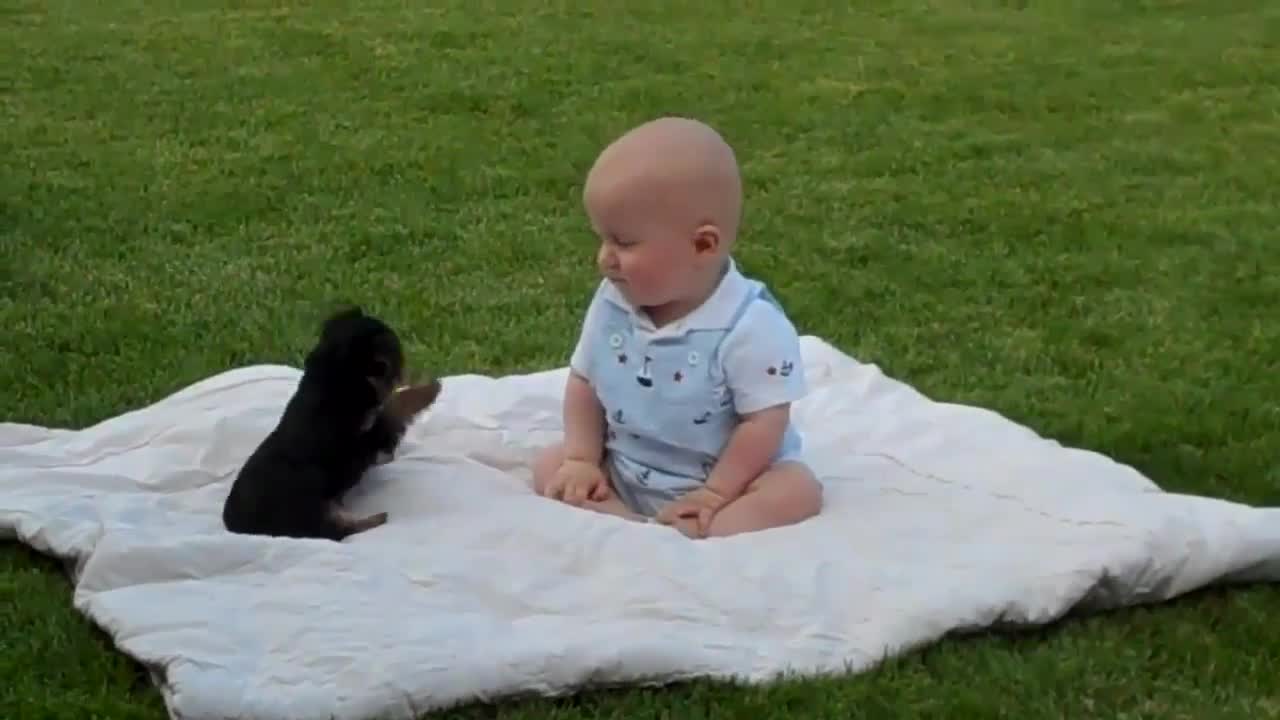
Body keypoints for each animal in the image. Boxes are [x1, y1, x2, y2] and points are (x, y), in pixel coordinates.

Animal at [227, 304, 448, 540]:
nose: (407, 370)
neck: (331, 381)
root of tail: (236, 527)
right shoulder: (368, 438)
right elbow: (395, 405)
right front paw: (431, 387)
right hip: (309, 511)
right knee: (339, 530)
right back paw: (377, 518)